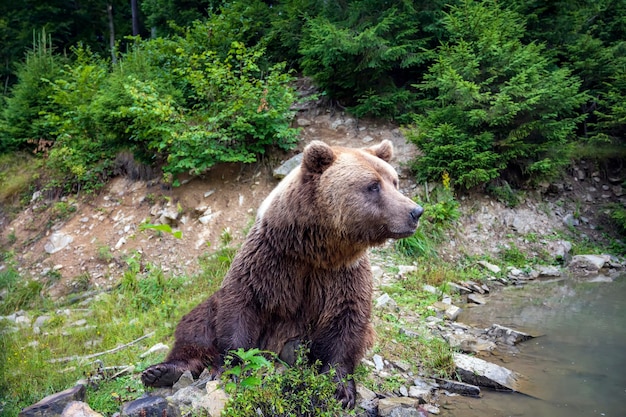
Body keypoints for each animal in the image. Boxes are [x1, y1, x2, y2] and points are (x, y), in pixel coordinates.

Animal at [141, 140, 422, 406]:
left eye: (394, 181)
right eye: (373, 185)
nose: (416, 211)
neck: (316, 249)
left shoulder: (342, 274)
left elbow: (346, 321)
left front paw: (340, 390)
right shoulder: (270, 259)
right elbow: (241, 305)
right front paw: (232, 369)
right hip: (215, 308)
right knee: (197, 325)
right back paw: (161, 372)